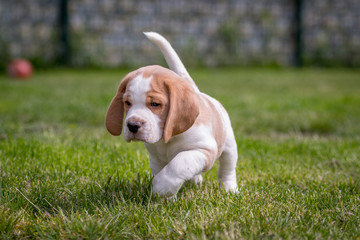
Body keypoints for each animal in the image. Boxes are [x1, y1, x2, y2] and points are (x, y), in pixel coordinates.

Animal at [105, 32, 238, 197]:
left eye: (155, 104)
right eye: (127, 103)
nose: (132, 125)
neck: (167, 139)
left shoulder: (204, 150)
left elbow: (179, 163)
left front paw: (161, 187)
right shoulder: (156, 160)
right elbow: (170, 172)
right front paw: (165, 199)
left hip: (229, 147)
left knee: (227, 170)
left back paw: (230, 189)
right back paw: (196, 181)